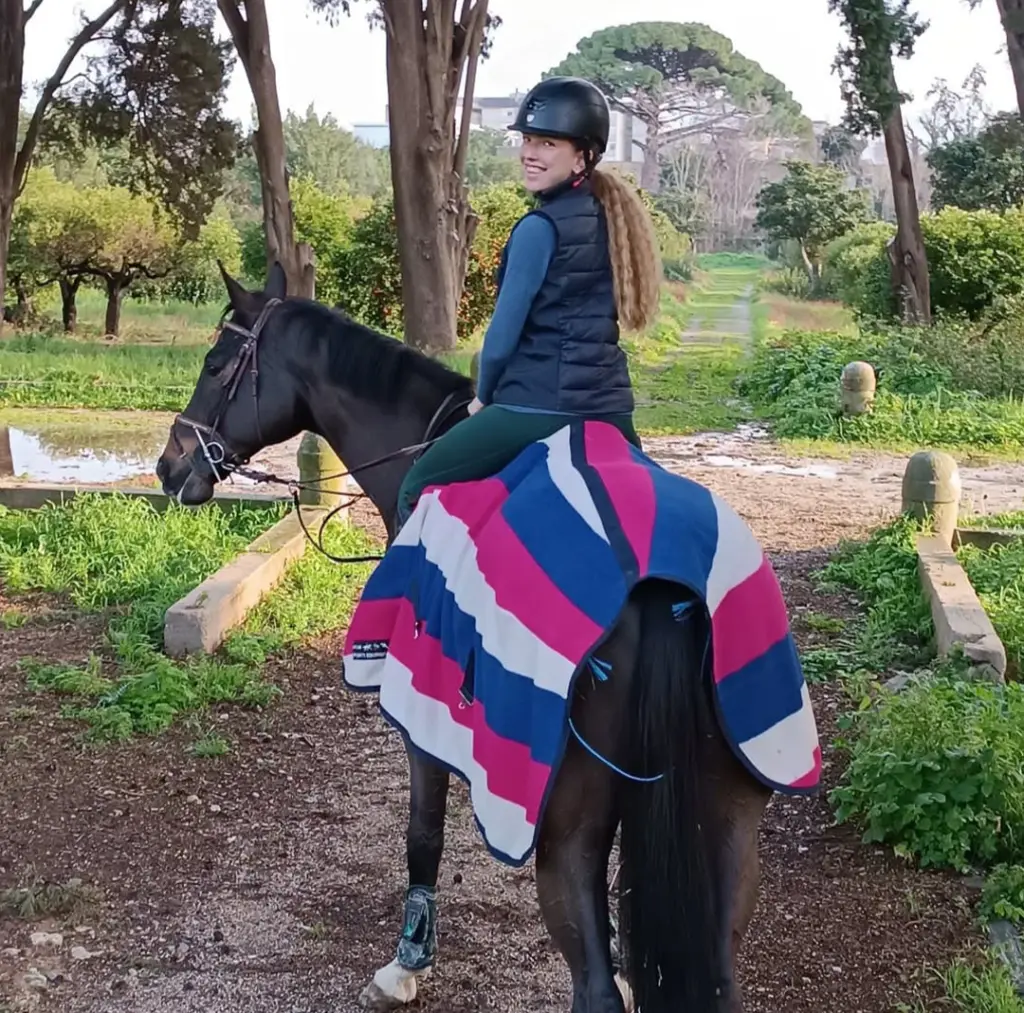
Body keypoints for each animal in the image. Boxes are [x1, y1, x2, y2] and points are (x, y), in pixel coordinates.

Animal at [156, 262, 776, 1013]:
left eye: (216, 364)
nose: (169, 465)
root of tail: (655, 579)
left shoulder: (421, 718)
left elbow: (423, 832)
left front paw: (407, 961)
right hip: (724, 832)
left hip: (568, 833)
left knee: (594, 987)